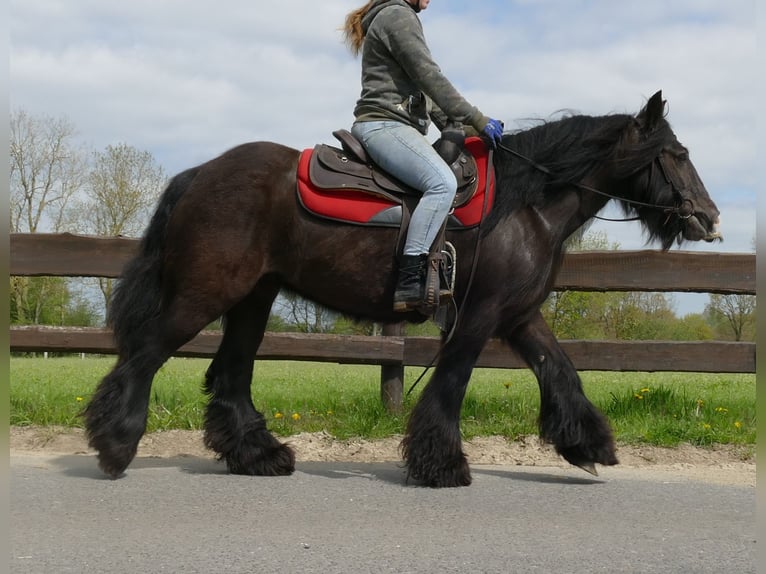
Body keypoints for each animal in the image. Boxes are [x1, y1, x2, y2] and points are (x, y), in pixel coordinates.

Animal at [87, 92, 724, 488]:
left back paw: (258, 456)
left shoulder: (519, 316)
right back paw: (114, 444)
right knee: (145, 356)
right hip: (204, 295)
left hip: (253, 298)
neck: (526, 204)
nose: (710, 217)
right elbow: (451, 385)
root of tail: (198, 173)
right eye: (676, 154)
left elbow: (560, 371)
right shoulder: (478, 316)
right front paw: (441, 465)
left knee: (231, 375)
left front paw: (588, 446)